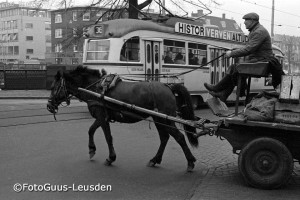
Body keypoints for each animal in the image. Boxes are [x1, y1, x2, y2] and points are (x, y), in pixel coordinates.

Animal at [46, 66, 199, 172]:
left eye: (53, 87)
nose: (49, 105)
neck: (95, 88)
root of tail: (168, 86)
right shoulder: (102, 117)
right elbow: (91, 130)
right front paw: (92, 149)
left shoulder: (102, 117)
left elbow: (108, 137)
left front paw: (110, 158)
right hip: (158, 119)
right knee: (164, 138)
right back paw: (155, 160)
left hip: (166, 119)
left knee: (179, 137)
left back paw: (190, 162)